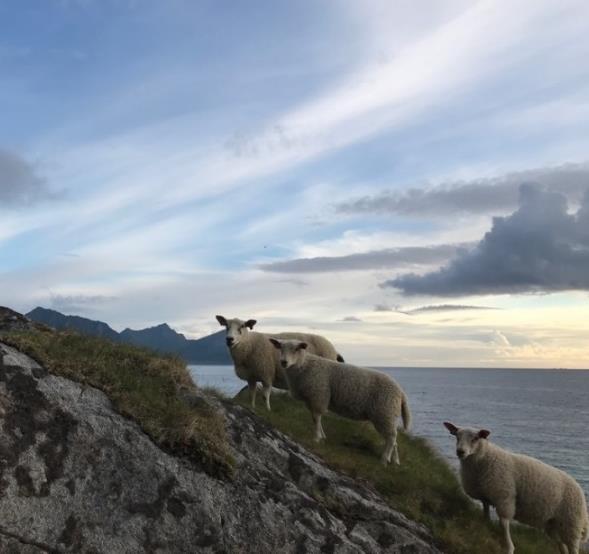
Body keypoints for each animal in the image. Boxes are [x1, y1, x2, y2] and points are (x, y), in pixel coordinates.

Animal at [215, 314, 344, 410]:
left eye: (242, 327)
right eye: (226, 326)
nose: (229, 339)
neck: (249, 344)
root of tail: (333, 349)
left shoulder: (266, 373)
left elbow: (265, 396)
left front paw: (268, 410)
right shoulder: (251, 377)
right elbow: (251, 394)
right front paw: (252, 407)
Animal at [270, 334, 408, 464]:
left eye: (296, 349)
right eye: (280, 348)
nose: (283, 362)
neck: (305, 364)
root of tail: (401, 392)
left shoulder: (318, 396)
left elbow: (316, 418)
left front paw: (316, 438)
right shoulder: (312, 400)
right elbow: (315, 418)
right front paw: (322, 436)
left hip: (385, 412)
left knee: (391, 438)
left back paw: (384, 460)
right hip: (388, 416)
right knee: (393, 439)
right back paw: (395, 461)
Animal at [444, 420, 584, 548]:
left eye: (475, 438)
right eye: (457, 436)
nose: (460, 451)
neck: (484, 459)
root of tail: (579, 488)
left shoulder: (505, 497)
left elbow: (504, 523)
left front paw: (509, 546)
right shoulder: (485, 495)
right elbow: (485, 511)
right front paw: (485, 524)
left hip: (571, 523)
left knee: (572, 547)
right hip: (553, 523)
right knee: (561, 545)